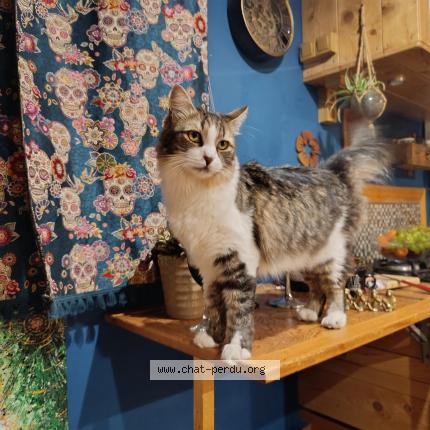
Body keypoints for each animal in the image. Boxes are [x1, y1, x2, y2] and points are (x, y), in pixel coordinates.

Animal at [156, 85, 391, 361]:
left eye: (223, 145)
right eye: (194, 136)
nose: (208, 159)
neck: (196, 195)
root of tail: (331, 171)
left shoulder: (240, 263)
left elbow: (238, 312)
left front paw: (235, 348)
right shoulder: (209, 266)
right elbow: (214, 306)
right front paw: (212, 336)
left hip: (333, 254)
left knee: (334, 287)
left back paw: (334, 318)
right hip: (305, 257)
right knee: (316, 287)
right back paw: (309, 311)